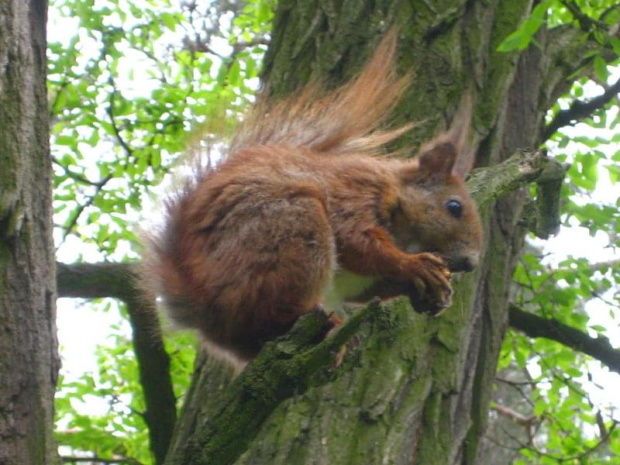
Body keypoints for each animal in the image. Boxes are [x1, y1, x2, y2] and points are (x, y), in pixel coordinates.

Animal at [142, 30, 484, 364]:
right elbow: (358, 241)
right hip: (290, 231)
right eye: (454, 207)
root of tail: (206, 306)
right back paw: (322, 324)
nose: (470, 264)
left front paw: (431, 294)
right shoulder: (353, 192)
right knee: (273, 314)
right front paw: (414, 265)